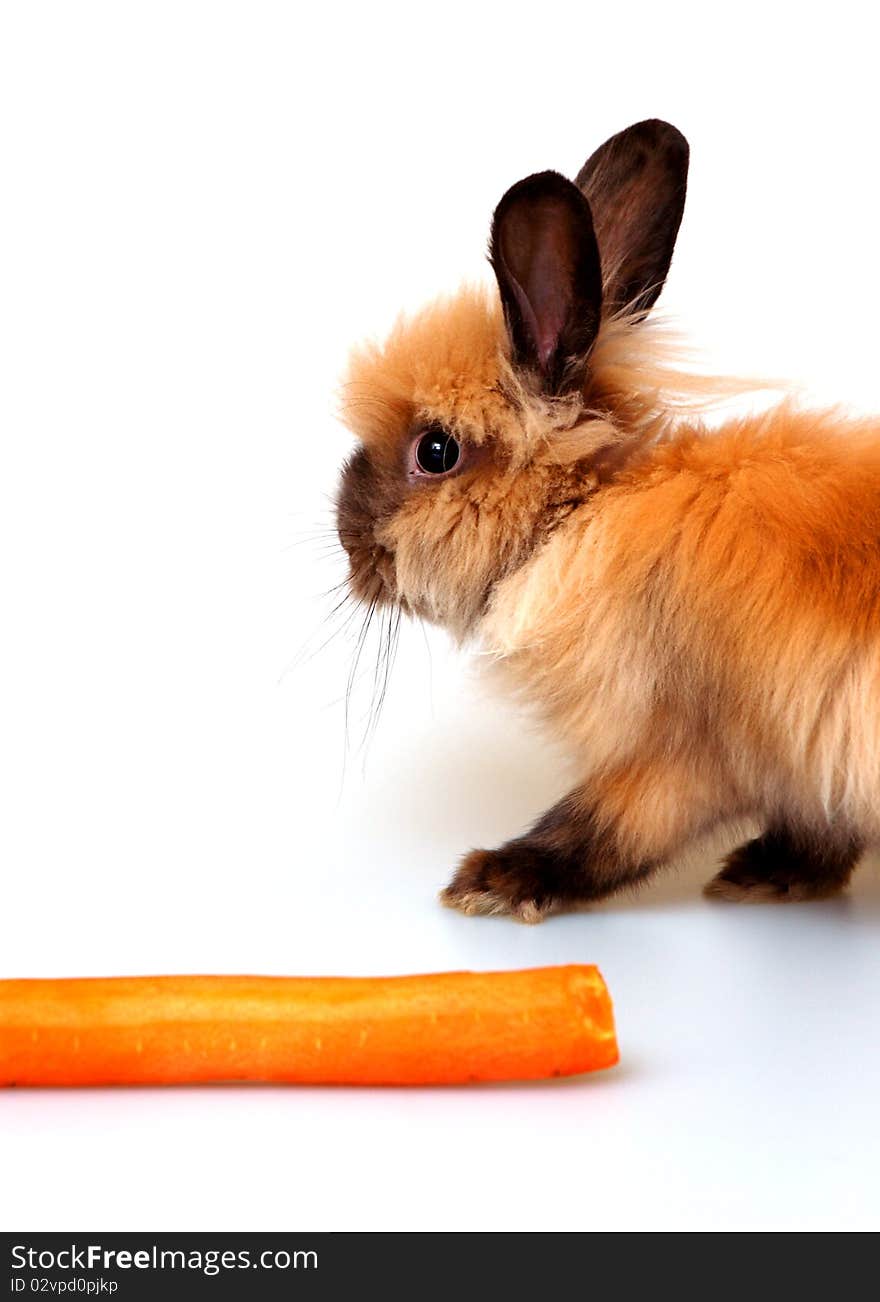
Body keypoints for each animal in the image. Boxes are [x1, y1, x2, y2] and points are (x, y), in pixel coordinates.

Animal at [335, 117, 879, 921]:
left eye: (436, 451)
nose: (348, 544)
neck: (586, 514)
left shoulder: (675, 754)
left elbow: (600, 829)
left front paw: (490, 882)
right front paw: (774, 873)